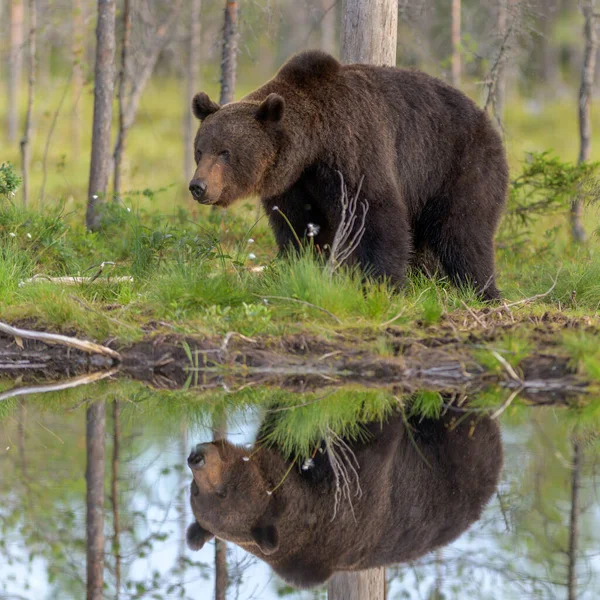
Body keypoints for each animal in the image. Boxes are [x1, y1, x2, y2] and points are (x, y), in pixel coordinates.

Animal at [186, 410, 502, 588]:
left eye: (197, 491)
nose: (195, 458)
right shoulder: (359, 494)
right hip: (456, 463)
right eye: (207, 492)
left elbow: (288, 427)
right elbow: (374, 435)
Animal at [190, 50, 508, 298]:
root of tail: (489, 123)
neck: (312, 146)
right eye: (200, 150)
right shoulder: (295, 184)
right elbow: (299, 227)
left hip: (457, 166)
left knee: (463, 232)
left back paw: (482, 289)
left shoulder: (353, 150)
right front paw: (304, 267)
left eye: (225, 152)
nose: (198, 186)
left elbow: (376, 216)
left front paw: (383, 284)